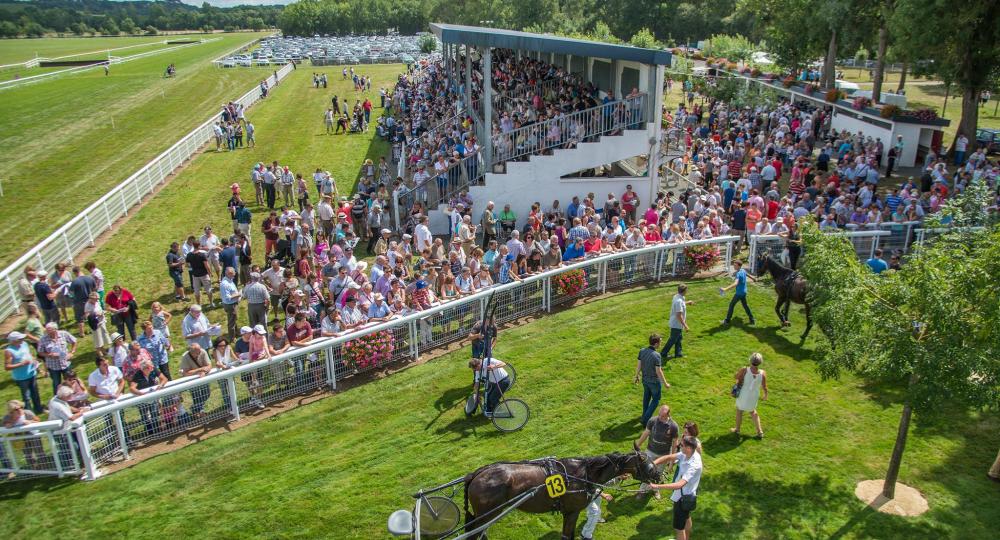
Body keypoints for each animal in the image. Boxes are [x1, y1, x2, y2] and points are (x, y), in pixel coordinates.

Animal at [462, 452, 652, 540]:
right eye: (650, 465)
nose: (657, 476)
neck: (583, 474)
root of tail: (476, 474)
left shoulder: (570, 512)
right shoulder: (572, 511)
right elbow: (567, 536)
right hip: (487, 515)